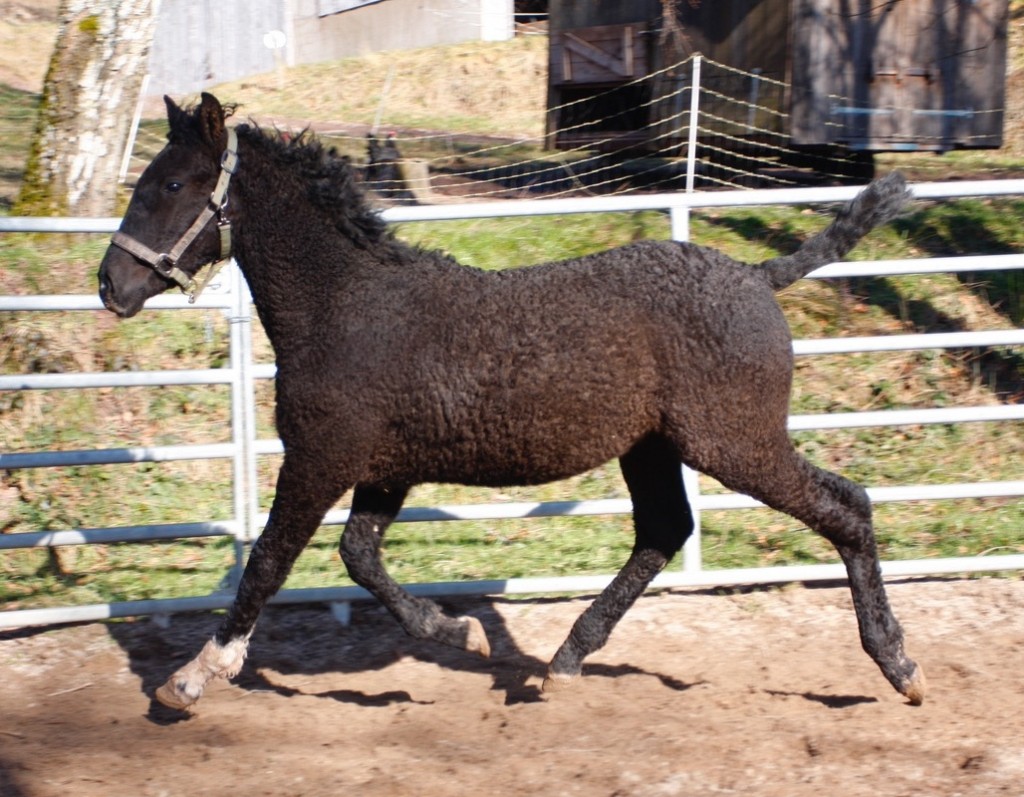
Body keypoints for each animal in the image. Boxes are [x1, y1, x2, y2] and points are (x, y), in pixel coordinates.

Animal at [97, 91, 929, 708]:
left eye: (170, 184)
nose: (111, 284)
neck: (345, 304)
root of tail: (759, 275)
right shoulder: (384, 468)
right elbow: (359, 555)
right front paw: (452, 627)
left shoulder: (320, 458)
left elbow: (270, 561)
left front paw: (191, 678)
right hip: (652, 447)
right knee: (665, 530)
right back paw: (563, 659)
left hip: (734, 442)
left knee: (847, 505)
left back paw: (899, 665)